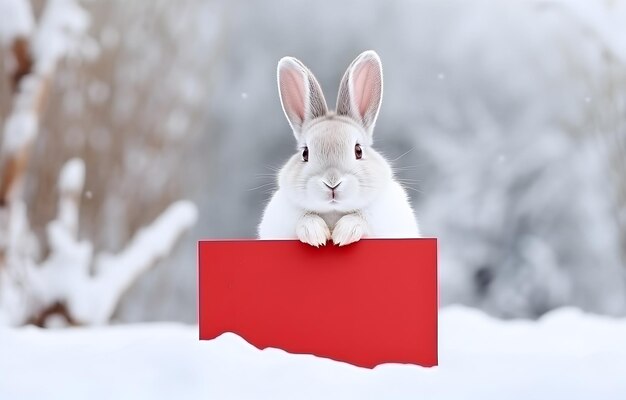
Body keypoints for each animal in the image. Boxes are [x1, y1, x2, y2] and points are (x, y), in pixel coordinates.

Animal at [258, 50, 420, 247]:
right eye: (305, 153)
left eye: (358, 150)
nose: (332, 182)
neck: (333, 212)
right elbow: (304, 218)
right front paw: (315, 235)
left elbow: (361, 217)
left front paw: (344, 234)